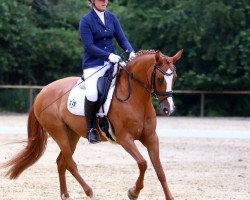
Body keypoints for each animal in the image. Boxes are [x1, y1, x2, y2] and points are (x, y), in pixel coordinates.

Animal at [0, 48, 183, 200]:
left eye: (174, 77)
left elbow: (159, 170)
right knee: (70, 163)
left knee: (61, 162)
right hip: (59, 132)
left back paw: (65, 195)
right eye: (160, 78)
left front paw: (169, 197)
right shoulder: (125, 139)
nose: (168, 109)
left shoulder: (151, 138)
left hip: (71, 134)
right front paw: (133, 192)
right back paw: (89, 192)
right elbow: (143, 163)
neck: (136, 98)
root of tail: (42, 92)